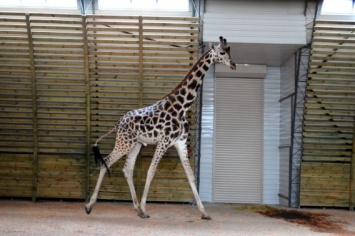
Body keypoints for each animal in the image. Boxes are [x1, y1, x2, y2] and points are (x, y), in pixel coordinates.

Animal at [85, 35, 238, 219]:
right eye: (222, 52)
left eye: (229, 51)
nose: (234, 65)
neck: (182, 106)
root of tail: (118, 123)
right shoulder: (164, 141)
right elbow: (151, 171)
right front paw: (145, 208)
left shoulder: (180, 143)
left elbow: (190, 176)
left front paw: (204, 213)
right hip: (125, 142)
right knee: (106, 161)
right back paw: (90, 206)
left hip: (135, 144)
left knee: (127, 169)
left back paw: (136, 209)